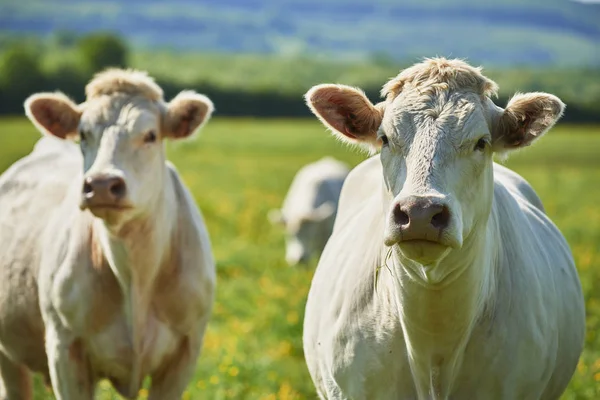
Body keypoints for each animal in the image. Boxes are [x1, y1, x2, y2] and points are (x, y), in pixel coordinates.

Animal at [0, 69, 216, 400]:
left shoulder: (186, 350)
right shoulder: (65, 348)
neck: (135, 275)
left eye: (150, 135)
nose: (102, 184)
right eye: (83, 134)